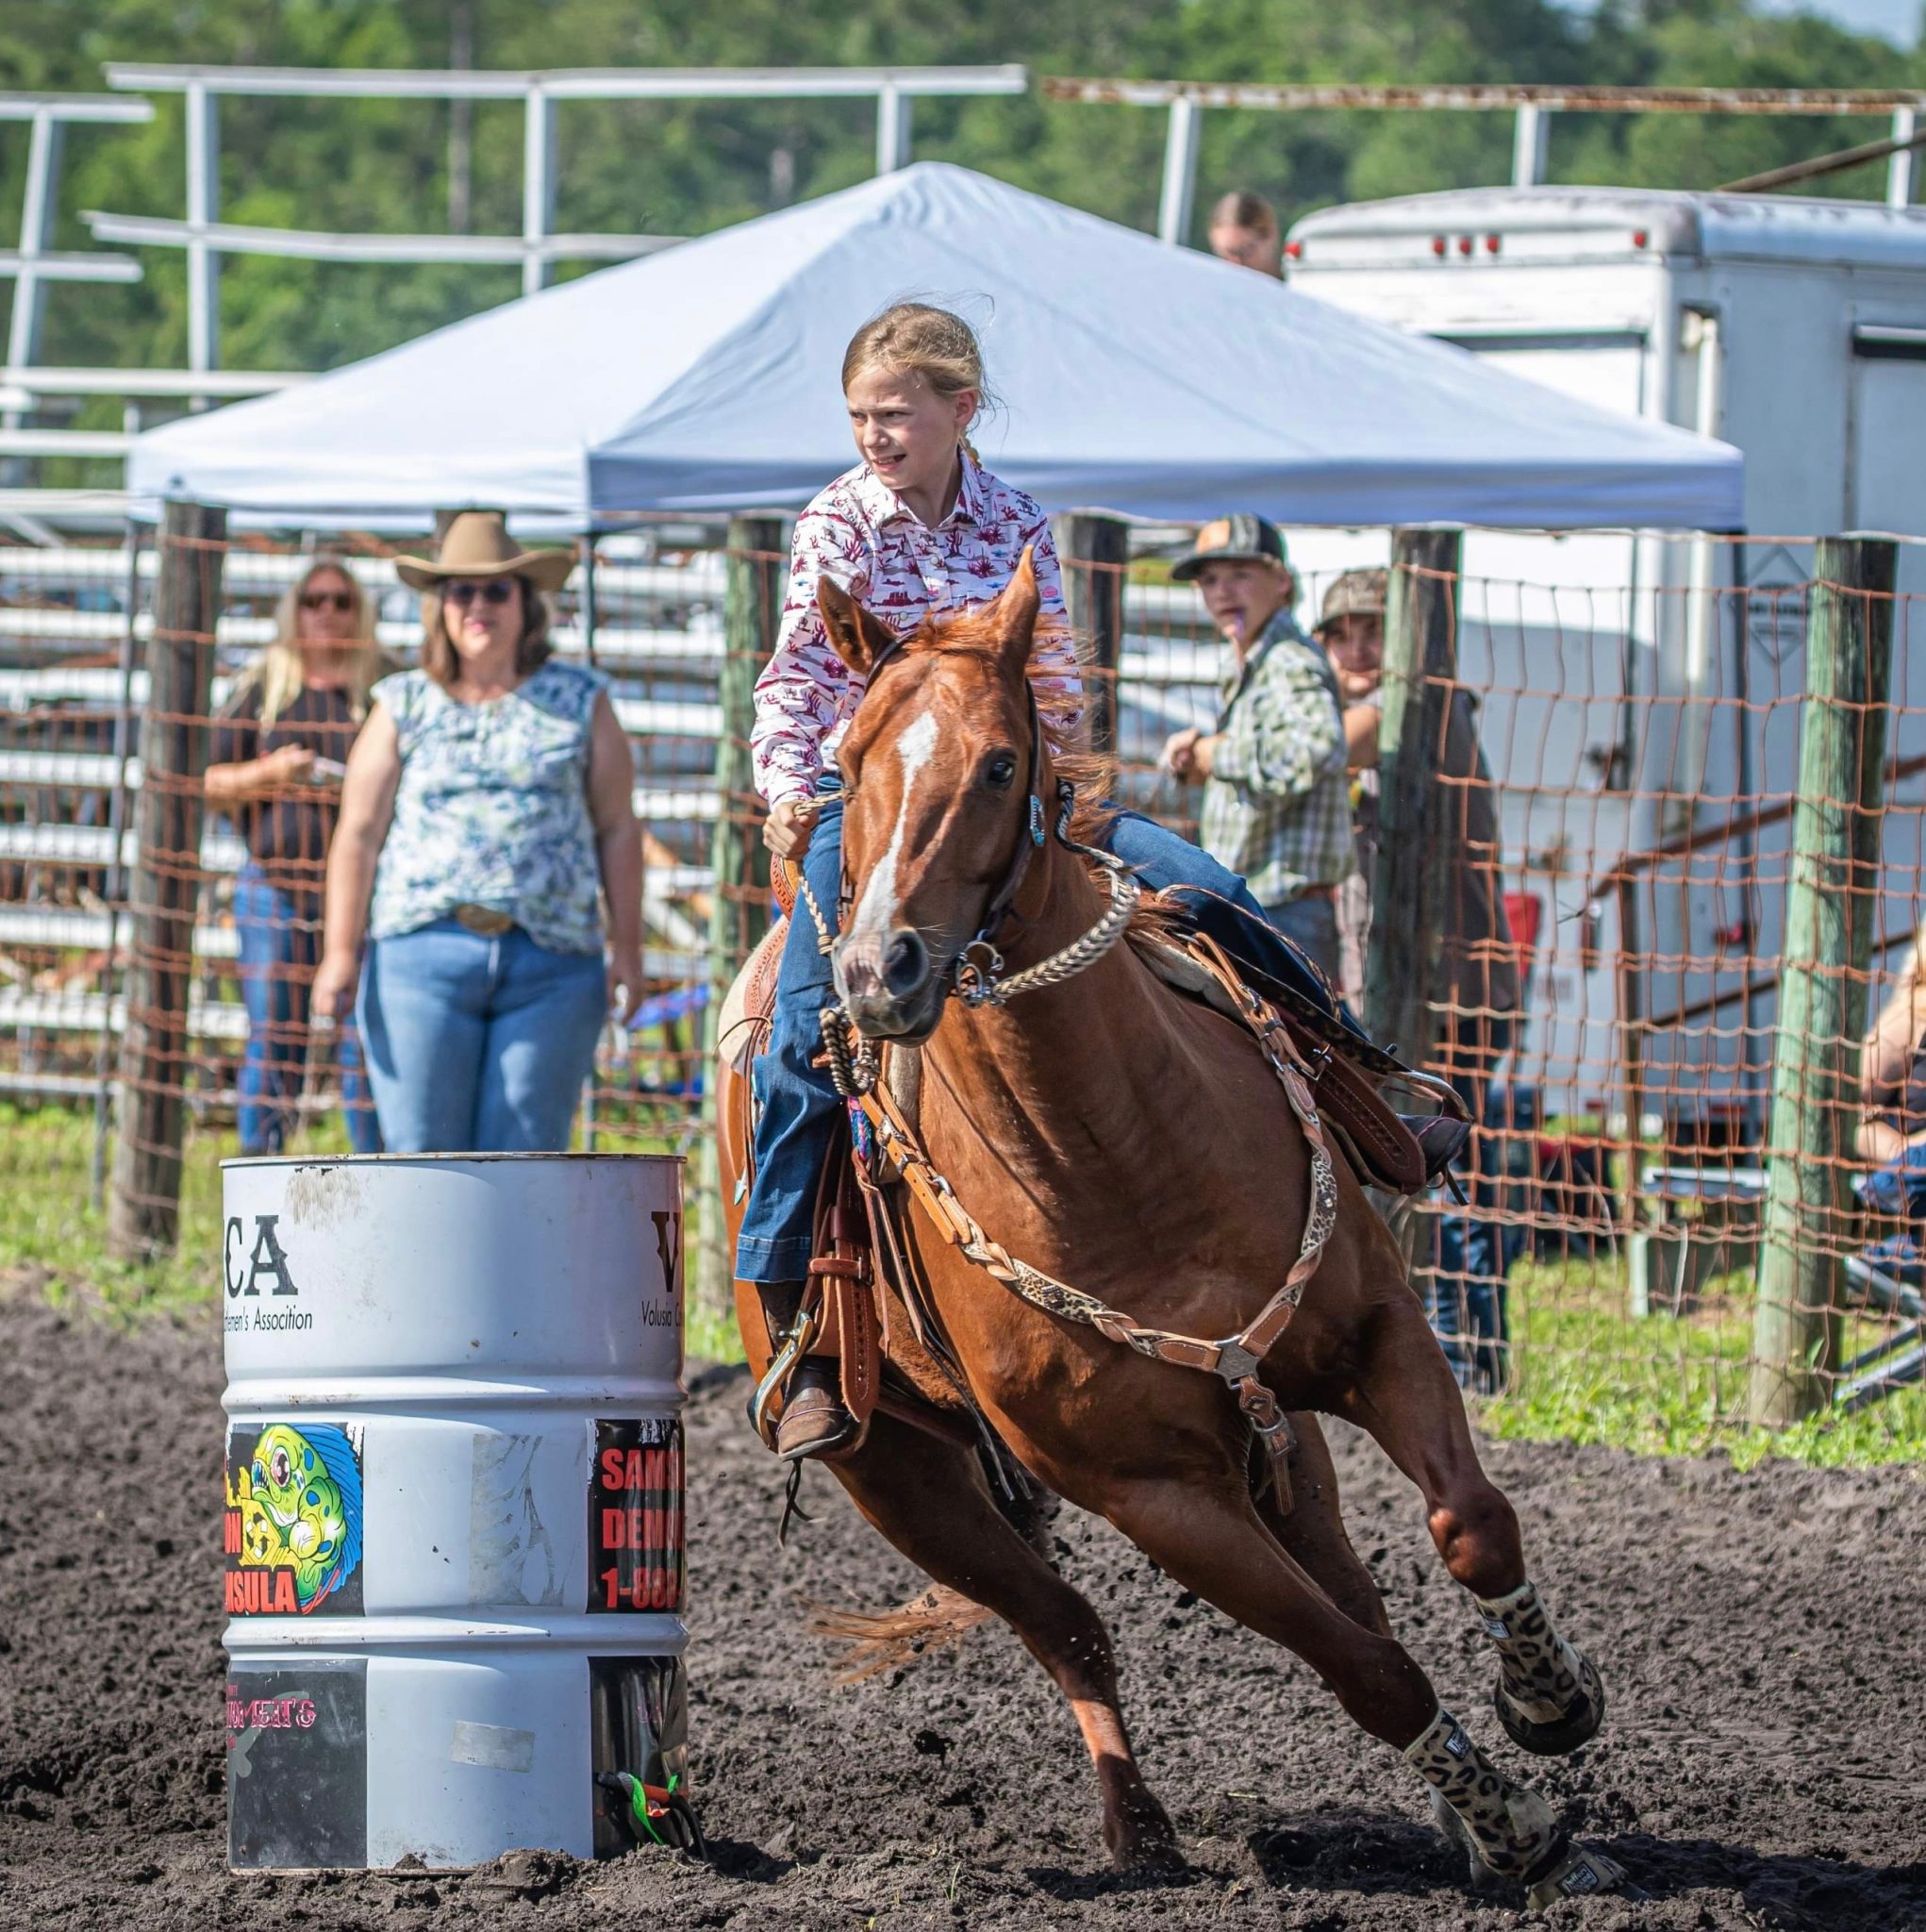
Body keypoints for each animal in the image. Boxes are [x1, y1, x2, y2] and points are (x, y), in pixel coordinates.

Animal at [718, 556, 1622, 1901]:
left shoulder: (1377, 1334)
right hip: (896, 1475)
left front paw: (1547, 1706)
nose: (881, 972)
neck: (1122, 1148)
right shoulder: (1155, 1492)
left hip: (1278, 1435)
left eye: (999, 761)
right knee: (1072, 1629)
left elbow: (1468, 1528)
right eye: (849, 757)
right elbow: (1360, 1666)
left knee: (1350, 1583)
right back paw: (1137, 1829)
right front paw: (1516, 1822)